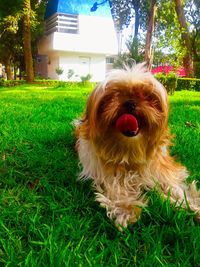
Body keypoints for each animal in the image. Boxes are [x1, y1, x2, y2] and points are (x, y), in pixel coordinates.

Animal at [75, 63, 200, 229]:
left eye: (147, 96)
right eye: (112, 95)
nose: (129, 102)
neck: (130, 150)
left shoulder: (161, 169)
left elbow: (175, 187)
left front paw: (191, 205)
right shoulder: (104, 171)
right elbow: (116, 184)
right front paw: (125, 208)